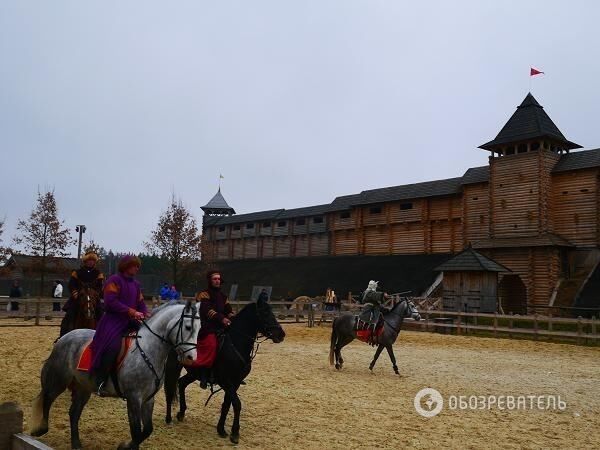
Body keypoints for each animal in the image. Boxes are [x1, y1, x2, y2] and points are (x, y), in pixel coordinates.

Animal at [30, 302, 200, 450]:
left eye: (199, 329)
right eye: (188, 327)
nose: (191, 358)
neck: (147, 351)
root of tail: (64, 338)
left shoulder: (147, 399)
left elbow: (147, 431)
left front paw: (126, 446)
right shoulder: (133, 398)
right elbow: (136, 432)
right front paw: (125, 446)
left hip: (83, 388)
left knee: (74, 413)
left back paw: (76, 443)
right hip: (60, 380)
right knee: (48, 398)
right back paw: (40, 429)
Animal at [164, 298, 286, 444]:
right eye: (265, 313)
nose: (281, 334)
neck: (235, 344)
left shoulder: (235, 383)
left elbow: (227, 404)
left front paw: (221, 429)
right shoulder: (226, 382)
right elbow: (237, 404)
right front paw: (235, 433)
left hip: (193, 373)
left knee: (182, 383)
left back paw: (181, 413)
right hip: (175, 368)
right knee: (170, 389)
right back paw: (169, 418)